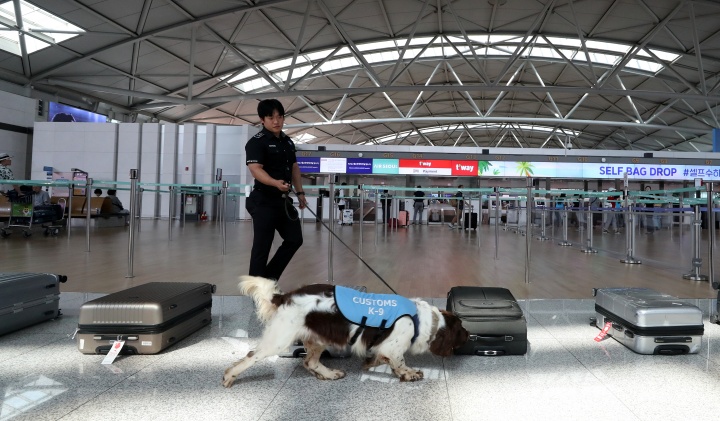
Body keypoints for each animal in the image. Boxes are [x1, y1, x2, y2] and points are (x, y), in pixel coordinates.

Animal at [222, 274, 470, 386]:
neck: (420, 320)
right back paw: (229, 376)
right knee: (251, 356)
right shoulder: (393, 348)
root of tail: (284, 297)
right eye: (461, 328)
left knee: (309, 362)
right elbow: (399, 363)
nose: (469, 335)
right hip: (280, 339)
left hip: (317, 339)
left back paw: (329, 373)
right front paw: (409, 374)